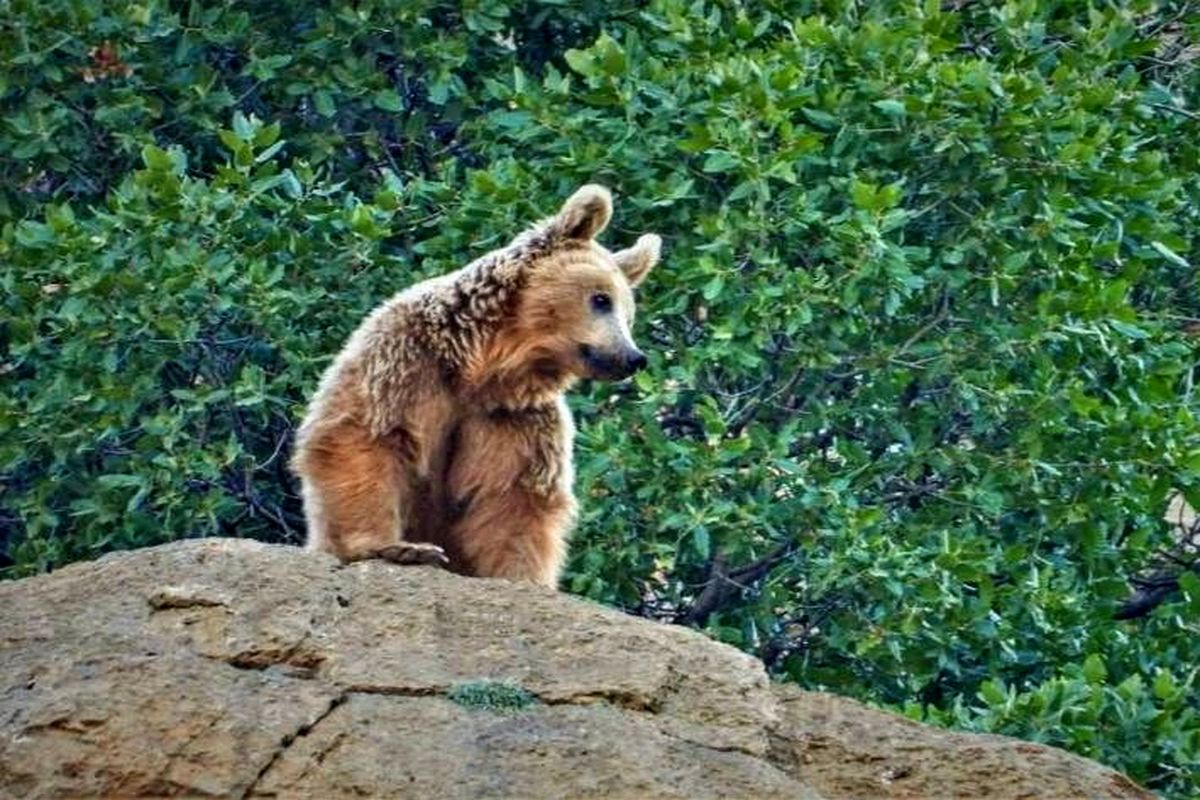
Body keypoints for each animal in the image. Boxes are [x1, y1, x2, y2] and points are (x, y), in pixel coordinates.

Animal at [292, 188, 667, 587]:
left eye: (628, 316)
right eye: (601, 299)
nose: (632, 357)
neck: (478, 368)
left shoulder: (511, 416)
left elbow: (512, 497)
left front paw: (520, 576)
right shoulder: (407, 364)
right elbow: (367, 437)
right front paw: (397, 548)